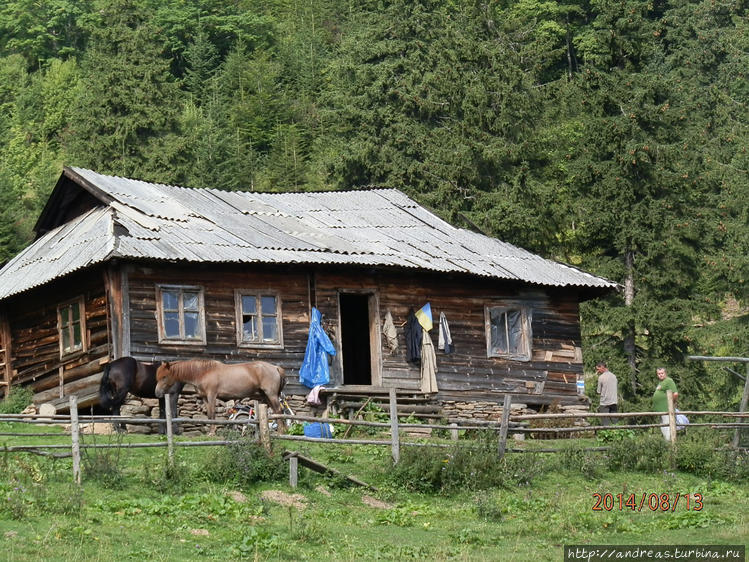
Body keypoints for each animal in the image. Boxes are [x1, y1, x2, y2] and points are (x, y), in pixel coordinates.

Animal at [154, 358, 286, 434]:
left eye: (164, 377)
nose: (157, 393)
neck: (203, 372)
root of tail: (275, 367)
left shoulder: (212, 396)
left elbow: (213, 414)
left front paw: (212, 433)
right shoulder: (205, 398)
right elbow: (209, 415)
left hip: (271, 395)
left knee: (279, 411)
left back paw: (281, 431)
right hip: (266, 396)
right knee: (275, 412)